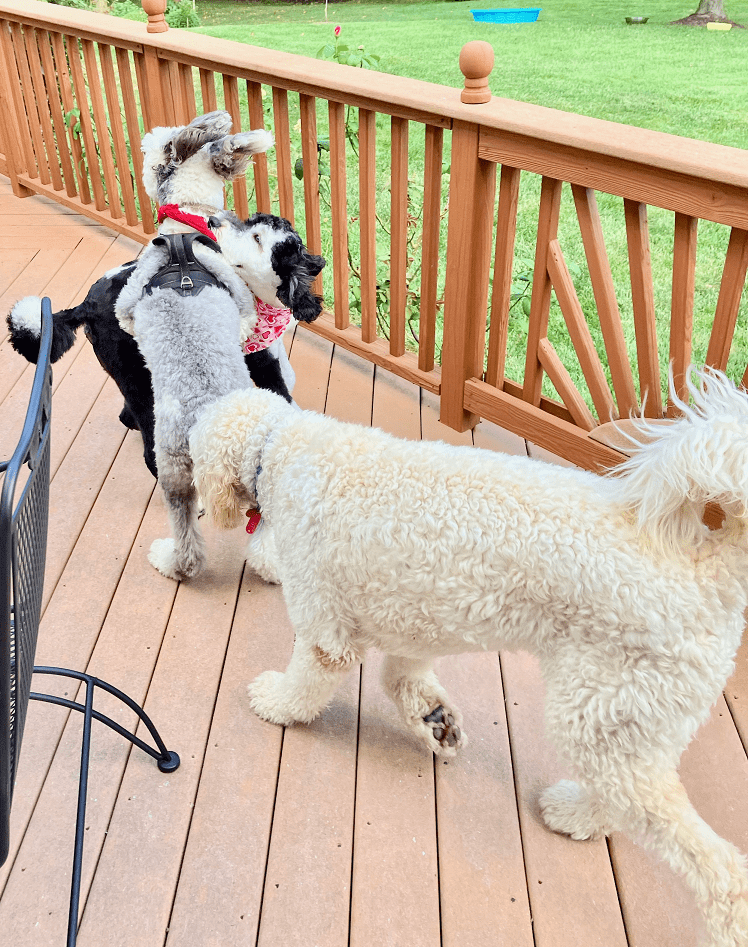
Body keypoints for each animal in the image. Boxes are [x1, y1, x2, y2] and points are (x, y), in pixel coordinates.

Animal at [190, 370, 748, 947]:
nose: (197, 506)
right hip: (626, 723)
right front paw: (435, 720)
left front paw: (276, 703)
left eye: (190, 456)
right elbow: (402, 679)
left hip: (602, 714)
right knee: (621, 798)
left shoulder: (325, 625)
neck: (278, 448)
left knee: (714, 862)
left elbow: (307, 681)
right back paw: (574, 815)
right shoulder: (413, 623)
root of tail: (710, 568)